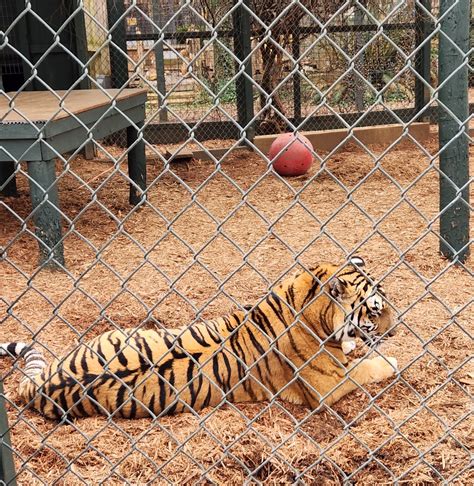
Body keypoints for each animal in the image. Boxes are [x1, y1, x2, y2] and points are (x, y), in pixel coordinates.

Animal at [1, 256, 398, 420]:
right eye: (374, 311)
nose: (397, 330)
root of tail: (37, 385)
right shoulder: (327, 385)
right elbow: (367, 368)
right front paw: (392, 359)